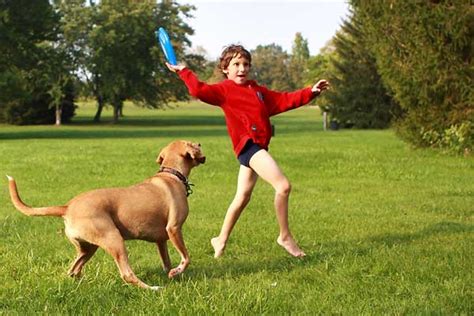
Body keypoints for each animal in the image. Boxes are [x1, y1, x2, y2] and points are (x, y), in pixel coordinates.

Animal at [6, 140, 206, 288]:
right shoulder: (174, 229)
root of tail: (67, 207)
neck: (171, 174)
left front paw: (172, 274)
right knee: (126, 274)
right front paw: (178, 271)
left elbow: (166, 261)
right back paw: (152, 288)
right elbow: (186, 257)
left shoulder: (161, 240)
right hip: (114, 239)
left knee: (73, 270)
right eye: (192, 144)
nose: (199, 143)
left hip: (87, 248)